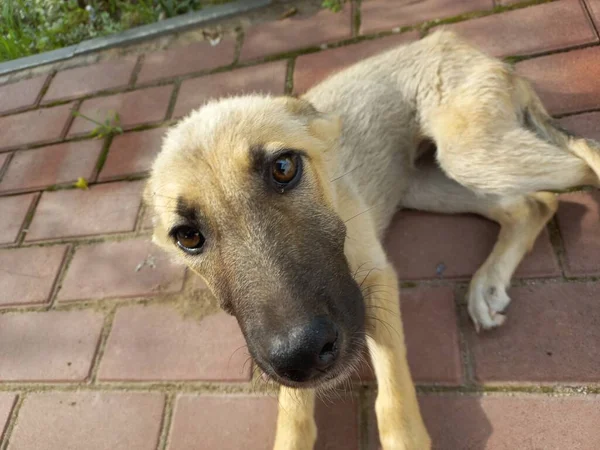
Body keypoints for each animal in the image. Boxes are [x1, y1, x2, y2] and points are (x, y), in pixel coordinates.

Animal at [145, 29, 600, 448]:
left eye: (283, 167)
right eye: (188, 236)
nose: (302, 354)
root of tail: (449, 39)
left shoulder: (376, 279)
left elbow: (393, 394)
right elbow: (294, 415)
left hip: (470, 154)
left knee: (584, 155)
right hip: (427, 181)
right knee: (532, 205)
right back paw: (488, 285)